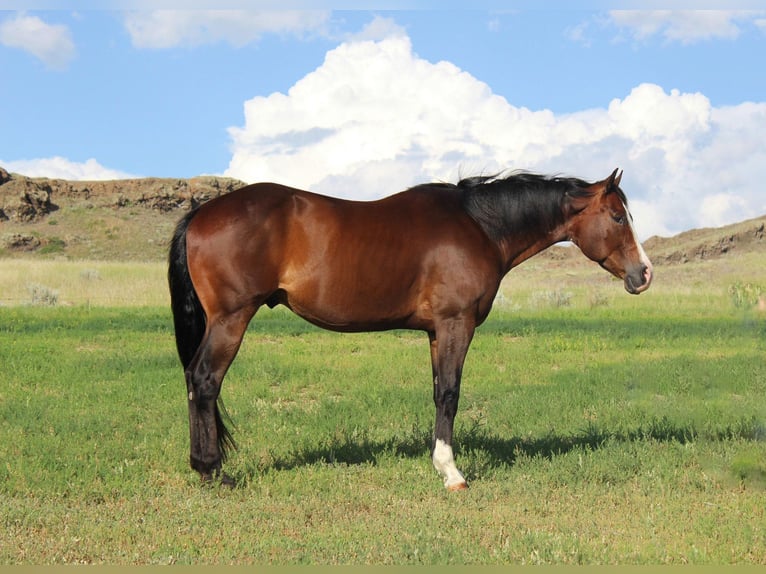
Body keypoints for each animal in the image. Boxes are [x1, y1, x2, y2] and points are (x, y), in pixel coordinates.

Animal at [168, 169, 656, 492]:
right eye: (618, 217)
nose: (645, 274)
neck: (480, 226)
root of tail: (201, 214)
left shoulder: (436, 331)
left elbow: (439, 391)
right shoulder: (456, 324)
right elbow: (451, 394)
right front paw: (452, 473)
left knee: (194, 379)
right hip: (232, 318)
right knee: (205, 380)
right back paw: (211, 469)